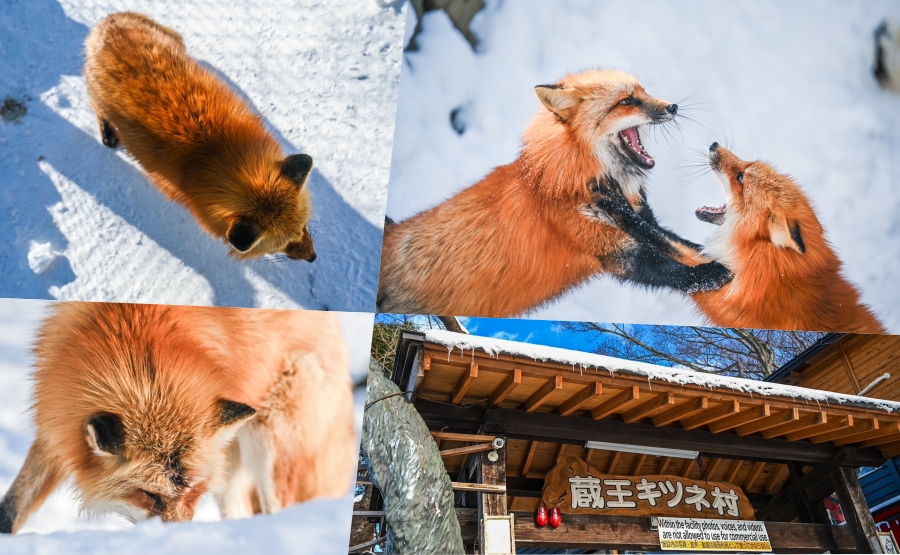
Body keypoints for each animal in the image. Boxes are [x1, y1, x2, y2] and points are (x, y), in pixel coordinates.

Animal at [0, 304, 356, 536]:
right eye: (149, 495)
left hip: (271, 445)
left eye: (194, 489)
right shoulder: (57, 430)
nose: (176, 543)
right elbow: (11, 510)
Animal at [84, 11, 316, 262]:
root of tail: (112, 20)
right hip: (100, 103)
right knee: (98, 111)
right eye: (282, 245)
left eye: (303, 227)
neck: (214, 151)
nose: (313, 257)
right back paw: (107, 132)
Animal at [374, 69, 732, 318]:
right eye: (626, 101)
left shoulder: (643, 220)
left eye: (644, 92)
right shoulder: (613, 250)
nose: (673, 106)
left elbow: (682, 245)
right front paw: (712, 273)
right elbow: (673, 270)